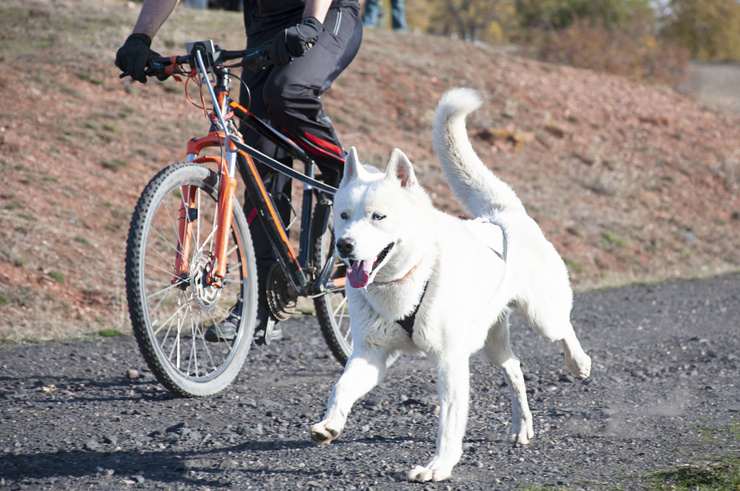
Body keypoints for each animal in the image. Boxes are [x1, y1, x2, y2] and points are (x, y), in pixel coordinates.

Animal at [310, 89, 592, 484]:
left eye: (378, 216)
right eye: (343, 215)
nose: (344, 245)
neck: (408, 278)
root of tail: (503, 214)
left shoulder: (449, 362)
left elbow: (448, 422)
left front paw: (438, 466)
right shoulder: (371, 355)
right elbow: (342, 387)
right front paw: (330, 424)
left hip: (542, 317)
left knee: (563, 329)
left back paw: (579, 363)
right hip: (492, 344)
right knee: (514, 367)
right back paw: (521, 426)